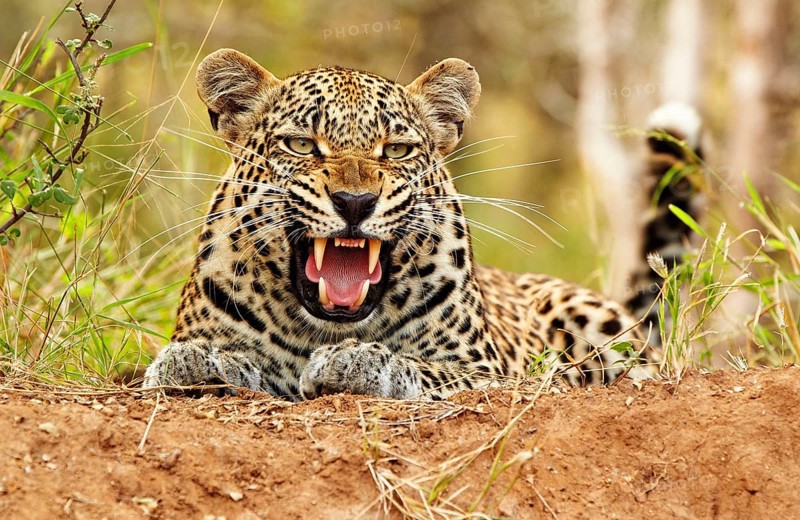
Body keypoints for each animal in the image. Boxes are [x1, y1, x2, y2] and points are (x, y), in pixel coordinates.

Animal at [143, 49, 702, 401]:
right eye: (301, 145)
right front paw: (194, 360)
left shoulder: (488, 374)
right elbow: (237, 359)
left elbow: (426, 370)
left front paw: (356, 362)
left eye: (396, 150)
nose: (355, 201)